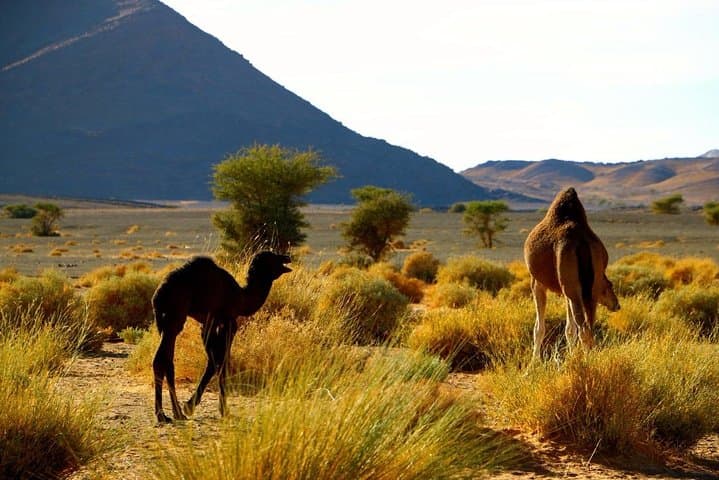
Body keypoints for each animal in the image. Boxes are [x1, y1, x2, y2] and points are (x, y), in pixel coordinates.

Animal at [151, 251, 291, 423]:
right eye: (272, 257)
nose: (287, 257)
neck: (241, 297)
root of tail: (158, 295)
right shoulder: (228, 321)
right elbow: (222, 362)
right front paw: (223, 410)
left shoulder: (207, 323)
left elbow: (213, 362)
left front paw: (190, 406)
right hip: (174, 316)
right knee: (162, 360)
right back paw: (165, 414)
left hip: (163, 322)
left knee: (166, 361)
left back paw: (174, 413)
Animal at [524, 187, 619, 359]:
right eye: (610, 286)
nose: (617, 304)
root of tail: (581, 242)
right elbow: (569, 329)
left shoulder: (537, 283)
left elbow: (539, 328)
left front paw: (533, 363)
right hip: (590, 287)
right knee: (589, 326)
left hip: (570, 285)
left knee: (584, 328)